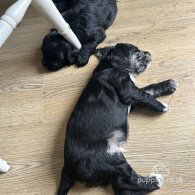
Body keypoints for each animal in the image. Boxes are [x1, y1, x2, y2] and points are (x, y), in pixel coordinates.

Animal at [57, 43, 177, 194]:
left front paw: (168, 85)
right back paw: (155, 181)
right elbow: (145, 96)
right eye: (138, 54)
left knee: (121, 186)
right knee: (128, 180)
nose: (148, 53)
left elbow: (149, 89)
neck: (111, 66)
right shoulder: (128, 90)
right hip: (111, 157)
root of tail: (68, 167)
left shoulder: (132, 99)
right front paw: (162, 106)